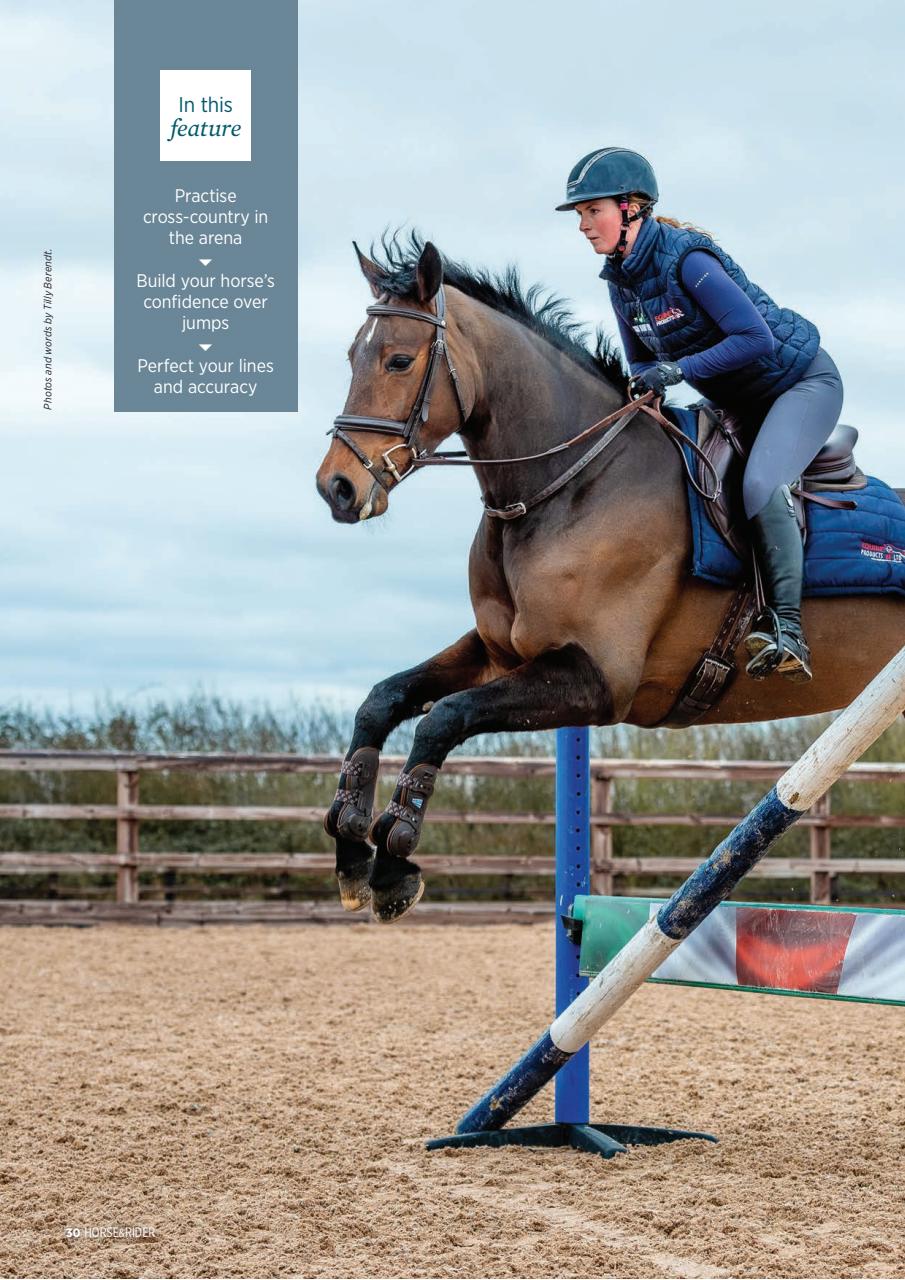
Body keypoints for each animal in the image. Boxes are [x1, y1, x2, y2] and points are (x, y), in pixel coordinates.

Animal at [315, 234, 904, 923]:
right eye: (352, 356)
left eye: (400, 360)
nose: (336, 488)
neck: (567, 483)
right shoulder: (499, 652)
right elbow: (384, 699)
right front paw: (352, 846)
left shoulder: (598, 678)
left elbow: (444, 718)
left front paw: (395, 857)